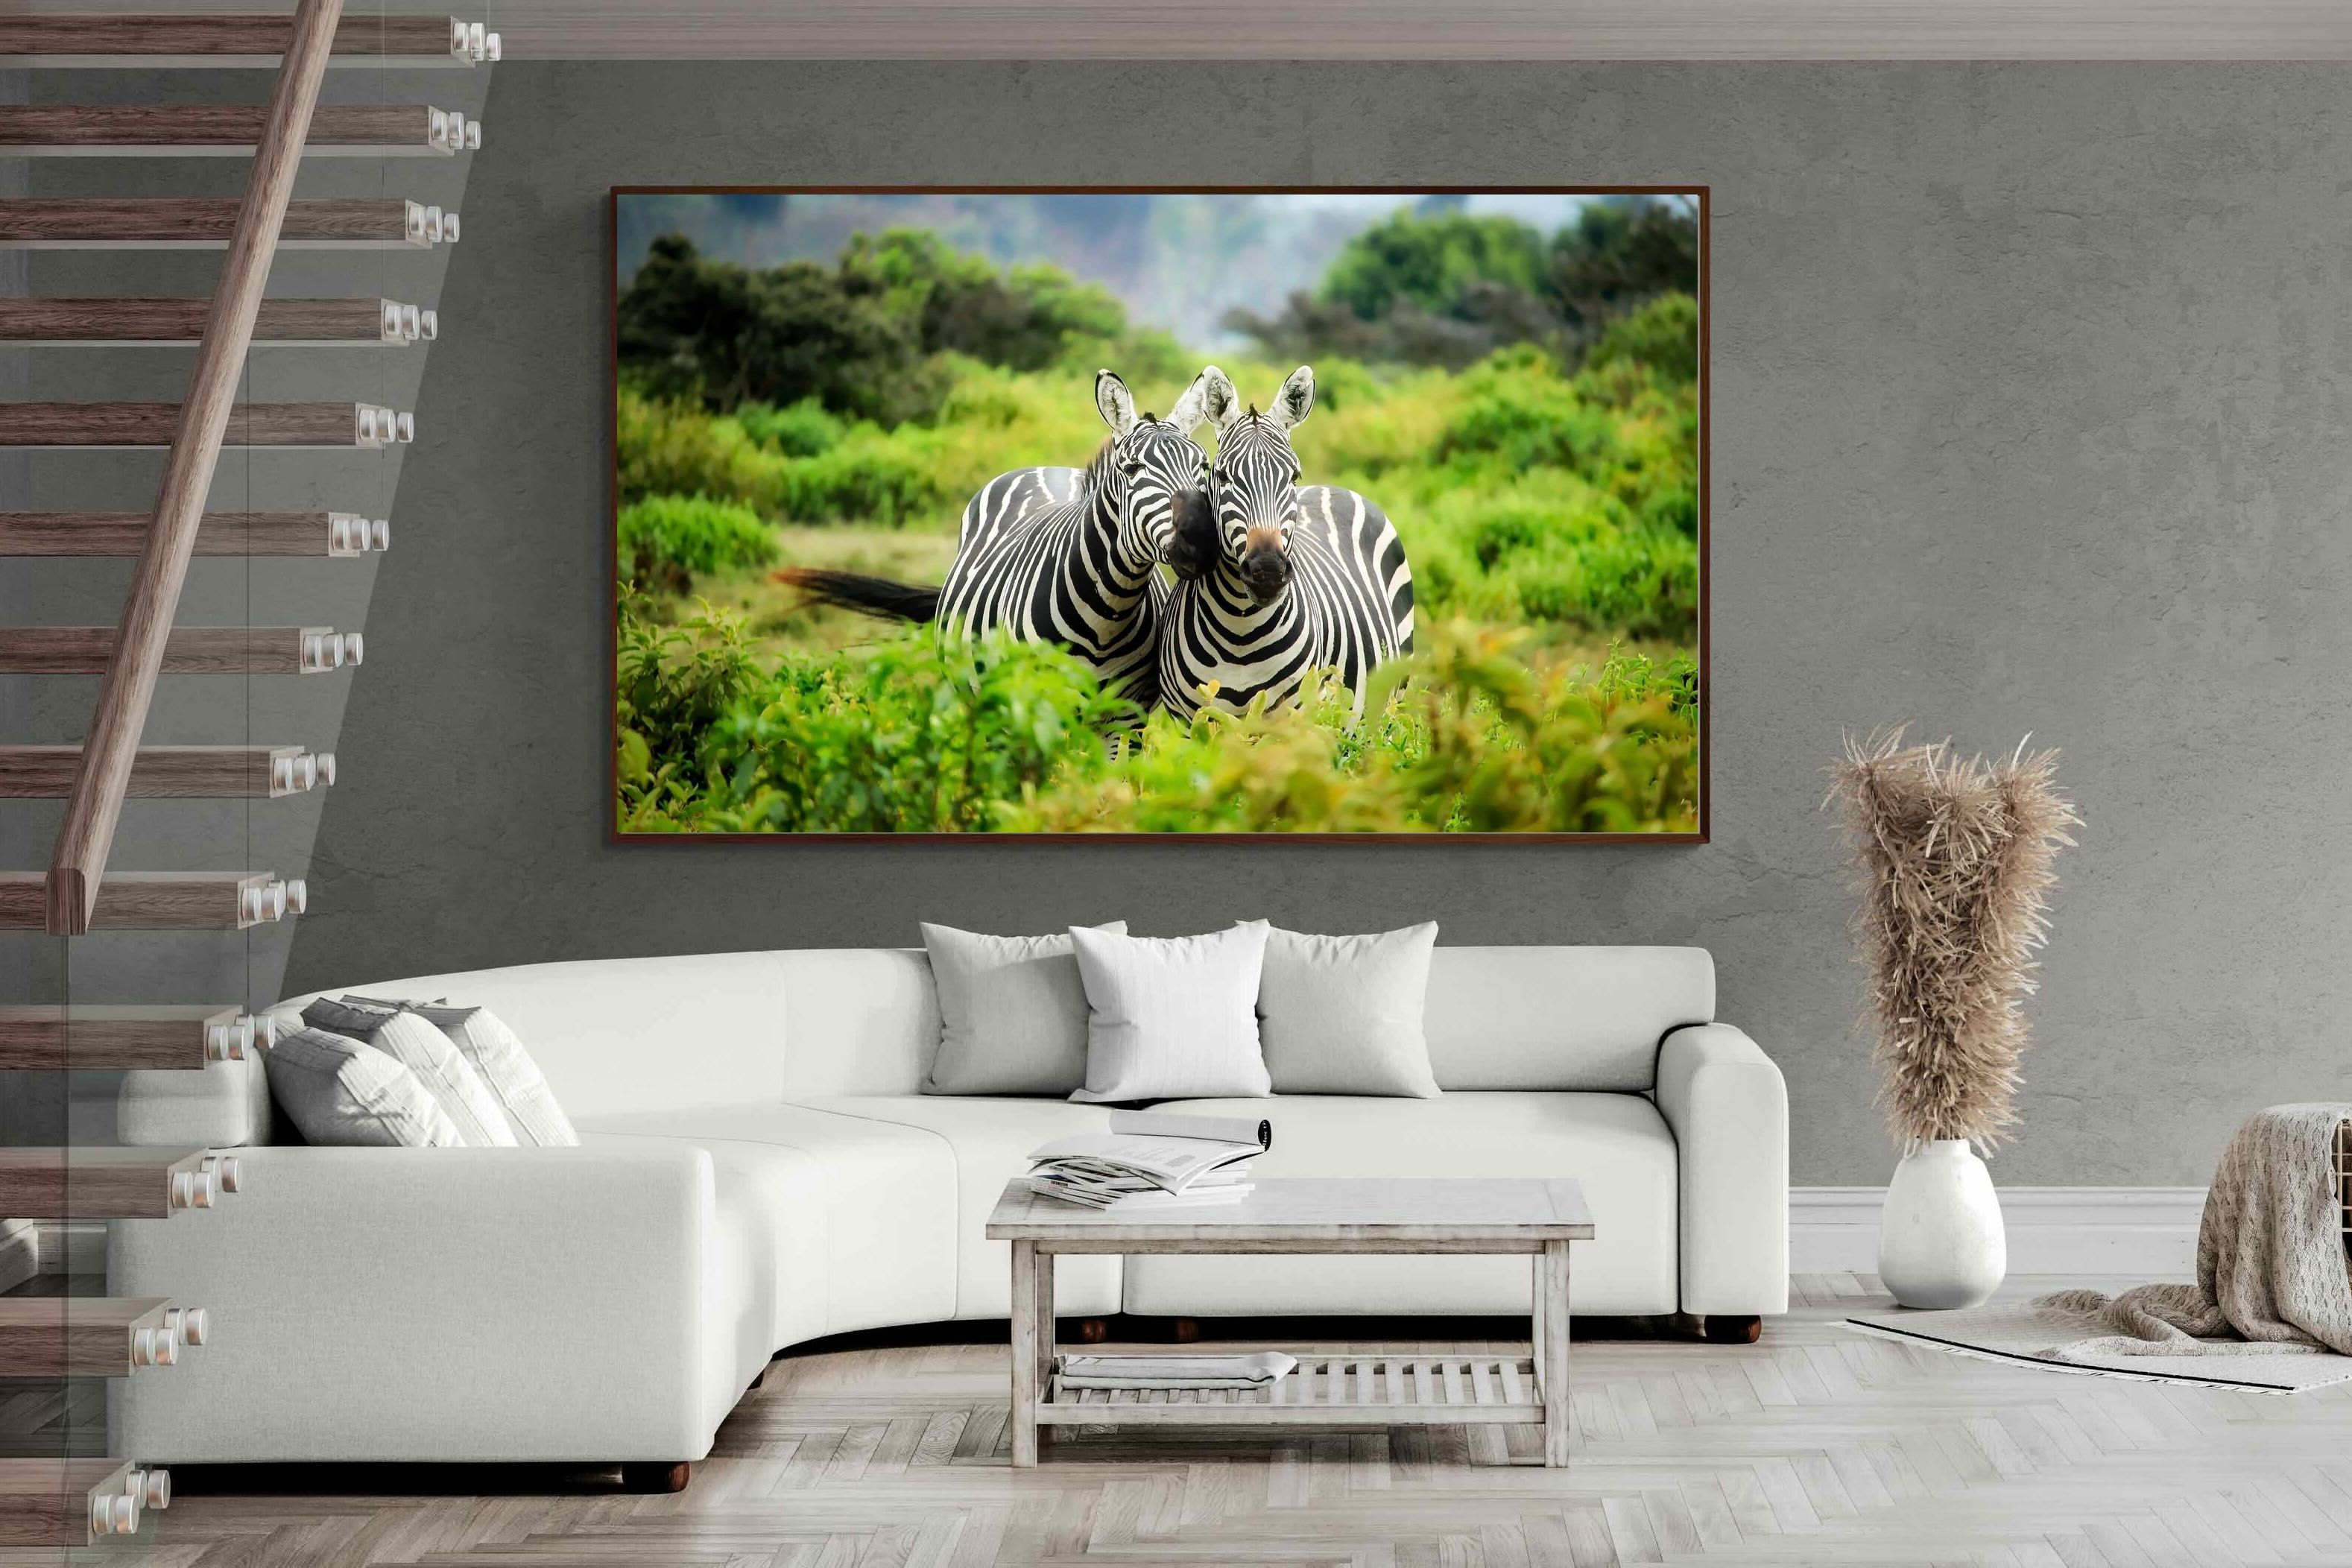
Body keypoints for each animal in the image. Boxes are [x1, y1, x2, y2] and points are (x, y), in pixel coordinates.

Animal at [777, 369, 1217, 709]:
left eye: (1203, 466)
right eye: (1132, 468)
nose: (1200, 539)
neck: (1107, 614)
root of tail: (1046, 467)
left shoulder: (1125, 716)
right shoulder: (1033, 704)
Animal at [1157, 365, 1416, 720]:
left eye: (1293, 476)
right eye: (1222, 476)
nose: (1267, 572)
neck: (1240, 633)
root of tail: (1333, 487)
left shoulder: (1294, 718)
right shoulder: (1189, 721)